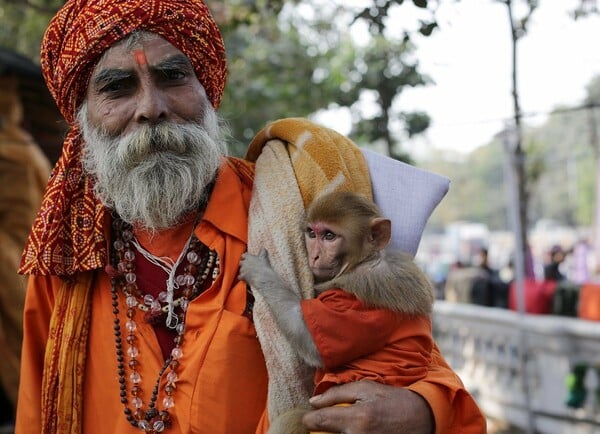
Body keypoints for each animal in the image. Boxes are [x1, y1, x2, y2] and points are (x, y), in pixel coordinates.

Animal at [239, 190, 436, 434]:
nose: (313, 256)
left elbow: (306, 334)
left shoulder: (356, 304)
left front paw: (259, 270)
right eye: (312, 233)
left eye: (329, 236)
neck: (363, 262)